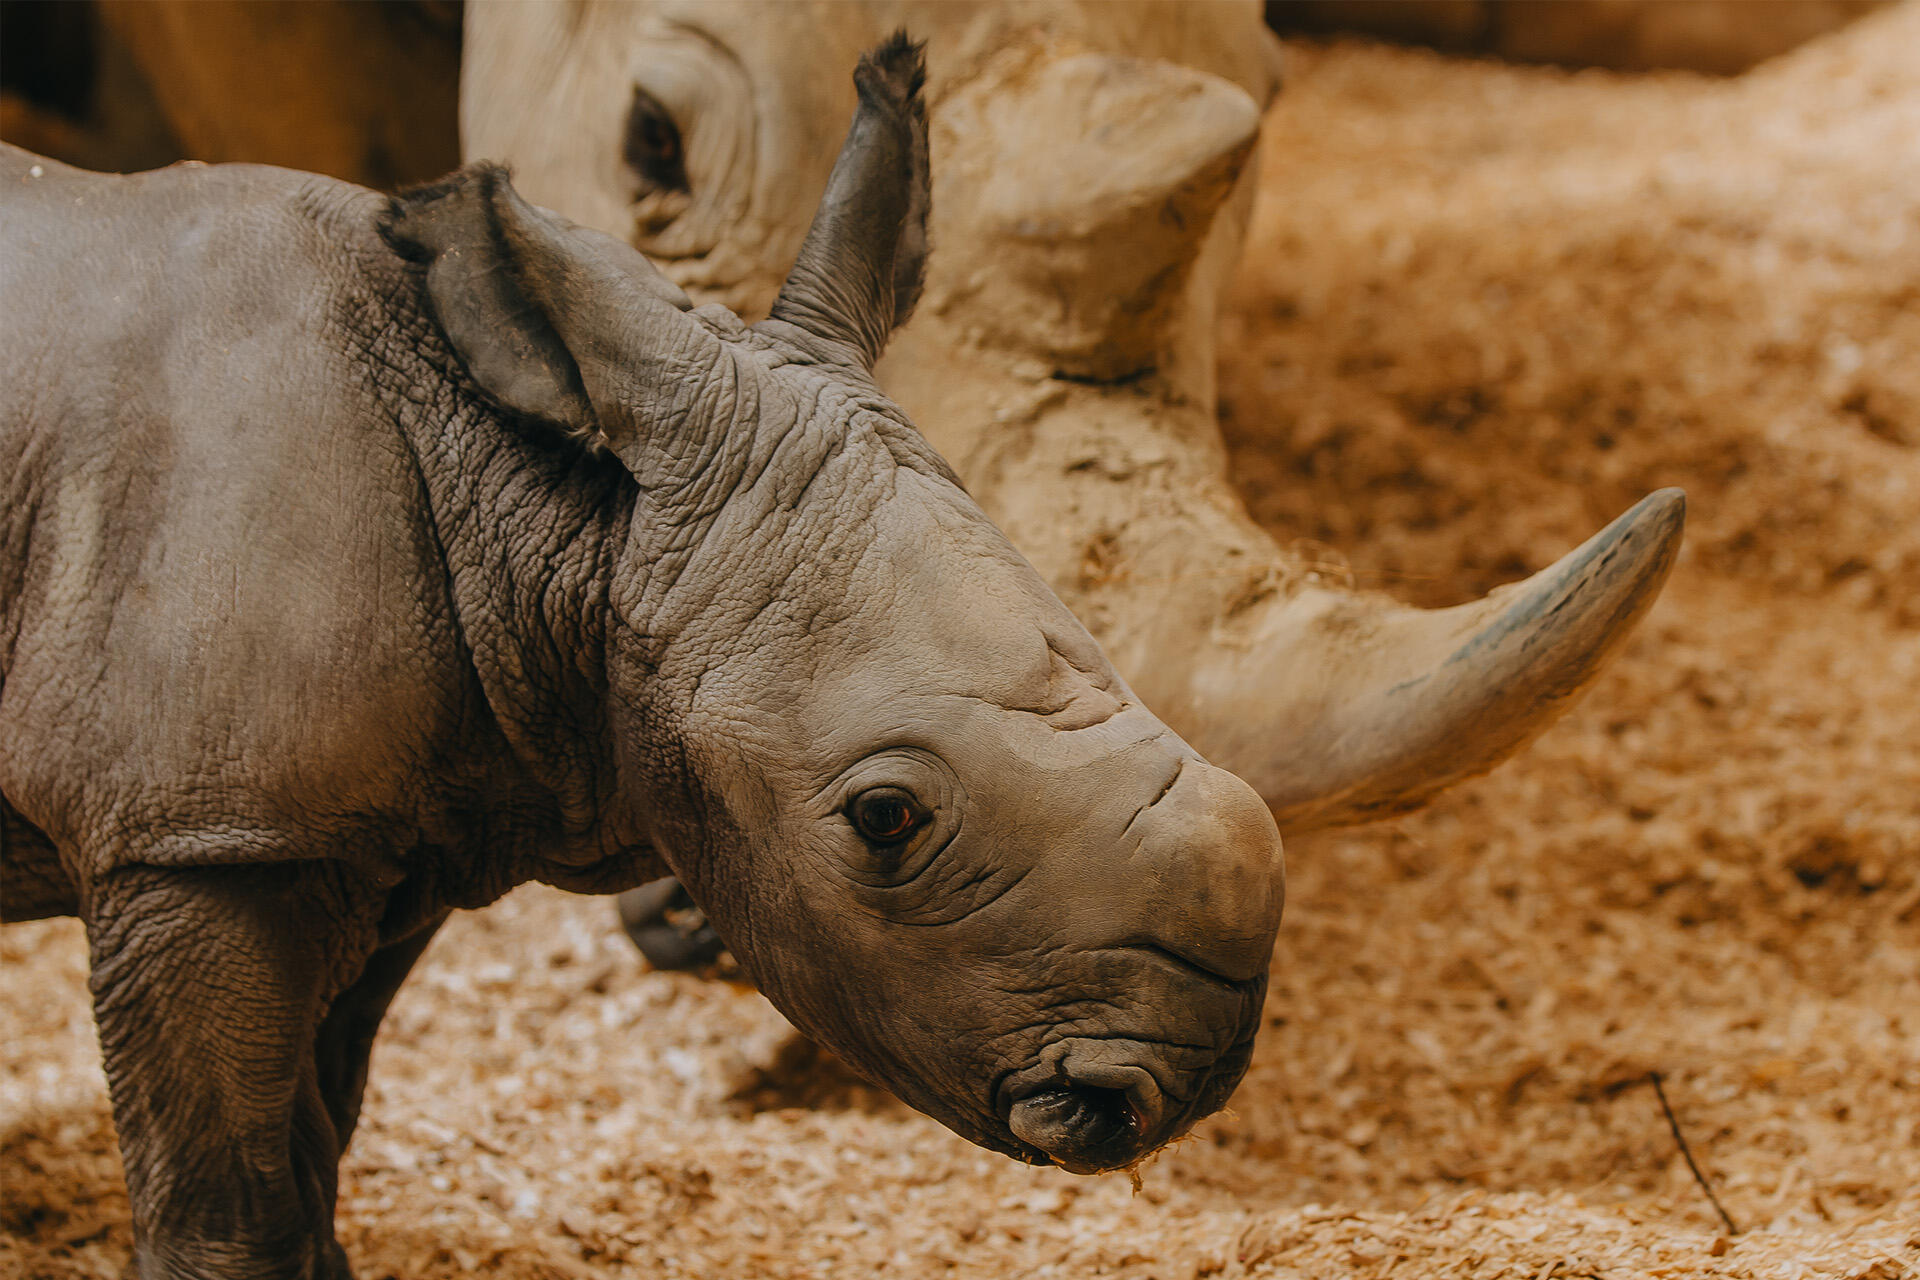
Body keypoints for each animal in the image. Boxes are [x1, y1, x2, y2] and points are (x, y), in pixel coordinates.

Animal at [3, 37, 1290, 1280]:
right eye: (885, 818)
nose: (1190, 1070)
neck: (571, 508)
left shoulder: (360, 827)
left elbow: (316, 1138)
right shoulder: (198, 832)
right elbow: (233, 1199)